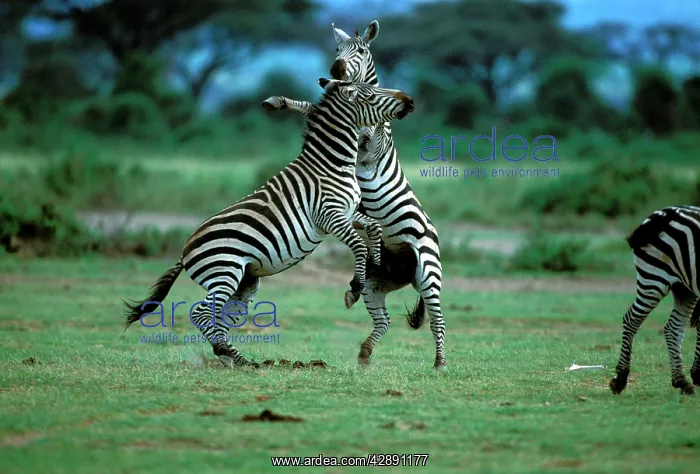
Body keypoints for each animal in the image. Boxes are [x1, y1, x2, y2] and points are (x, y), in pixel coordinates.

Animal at [123, 78, 415, 367]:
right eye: (370, 94)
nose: (410, 101)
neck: (332, 165)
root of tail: (184, 253)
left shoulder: (348, 211)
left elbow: (374, 228)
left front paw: (375, 263)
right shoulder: (329, 215)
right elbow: (358, 244)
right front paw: (355, 287)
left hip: (244, 281)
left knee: (223, 316)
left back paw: (233, 357)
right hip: (224, 272)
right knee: (201, 313)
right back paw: (229, 353)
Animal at [261, 21, 446, 369]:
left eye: (359, 50)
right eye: (337, 49)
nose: (335, 69)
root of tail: (407, 273)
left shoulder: (374, 146)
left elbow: (370, 133)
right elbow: (311, 107)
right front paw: (278, 101)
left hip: (429, 270)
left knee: (437, 318)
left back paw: (440, 362)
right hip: (376, 282)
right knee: (384, 319)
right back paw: (364, 352)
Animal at [609, 205, 700, 395]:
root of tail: (665, 212)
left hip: (684, 287)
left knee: (673, 327)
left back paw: (682, 381)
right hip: (654, 278)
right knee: (631, 319)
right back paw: (620, 378)